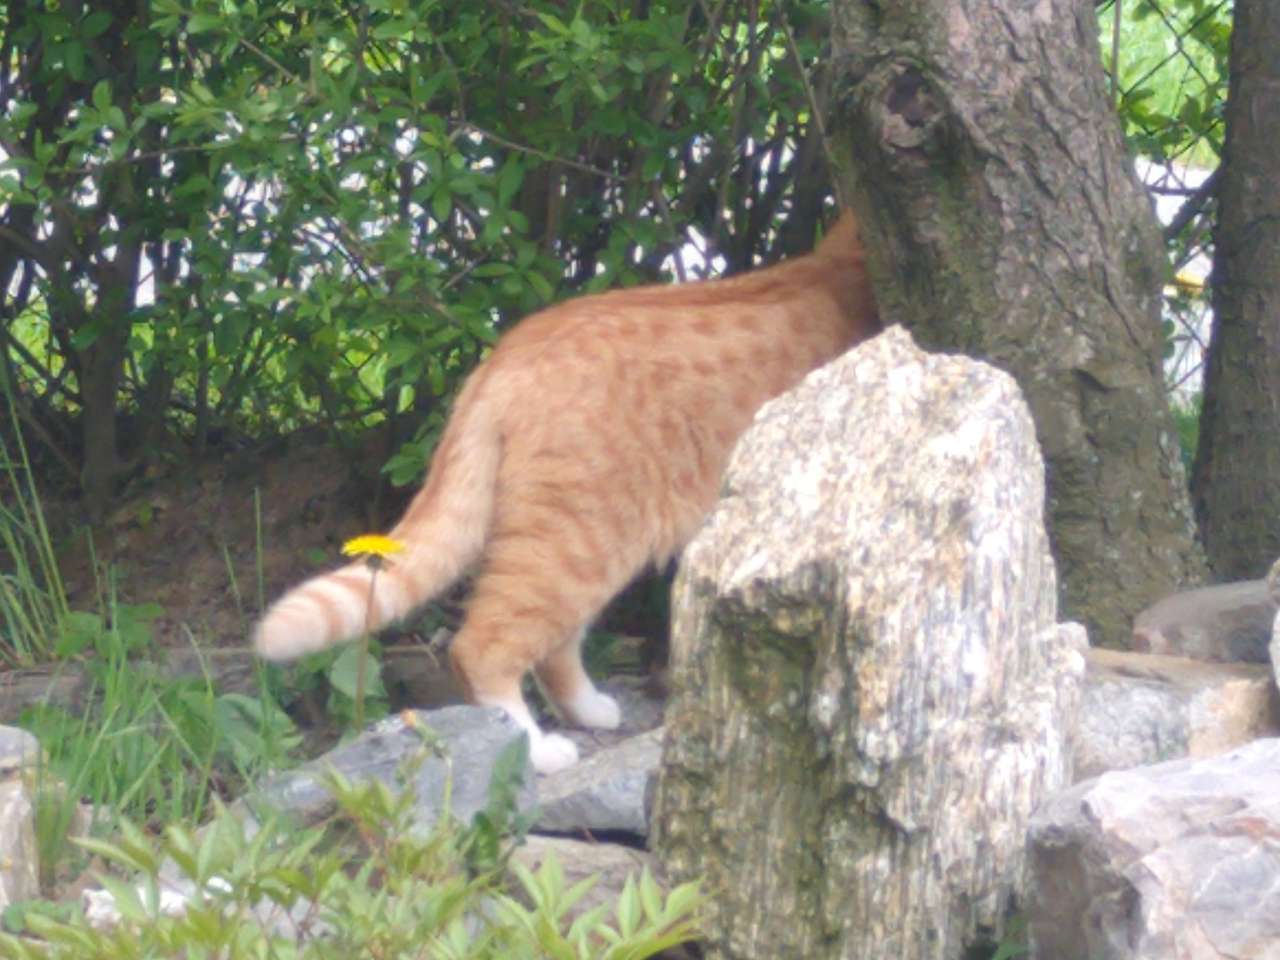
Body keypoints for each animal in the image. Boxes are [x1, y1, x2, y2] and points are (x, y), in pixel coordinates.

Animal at [256, 209, 885, 773]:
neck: (842, 261)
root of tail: (505, 357)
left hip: (581, 542)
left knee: (555, 645)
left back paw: (589, 709)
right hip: (581, 541)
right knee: (484, 647)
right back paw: (534, 750)